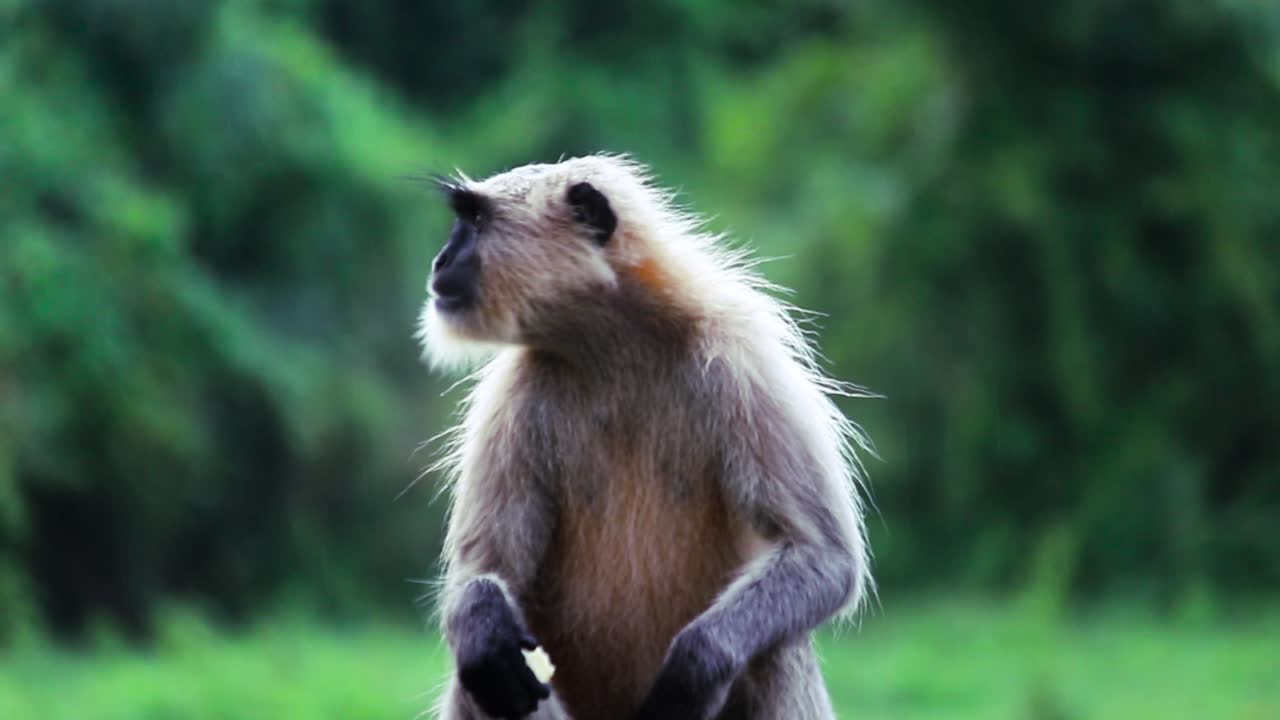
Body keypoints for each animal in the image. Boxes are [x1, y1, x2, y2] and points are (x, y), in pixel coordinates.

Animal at [419, 155, 873, 720]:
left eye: (476, 223)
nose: (440, 261)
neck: (615, 346)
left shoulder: (743, 355)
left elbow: (824, 555)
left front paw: (696, 667)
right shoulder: (513, 391)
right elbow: (485, 568)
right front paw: (484, 629)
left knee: (775, 648)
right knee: (483, 673)